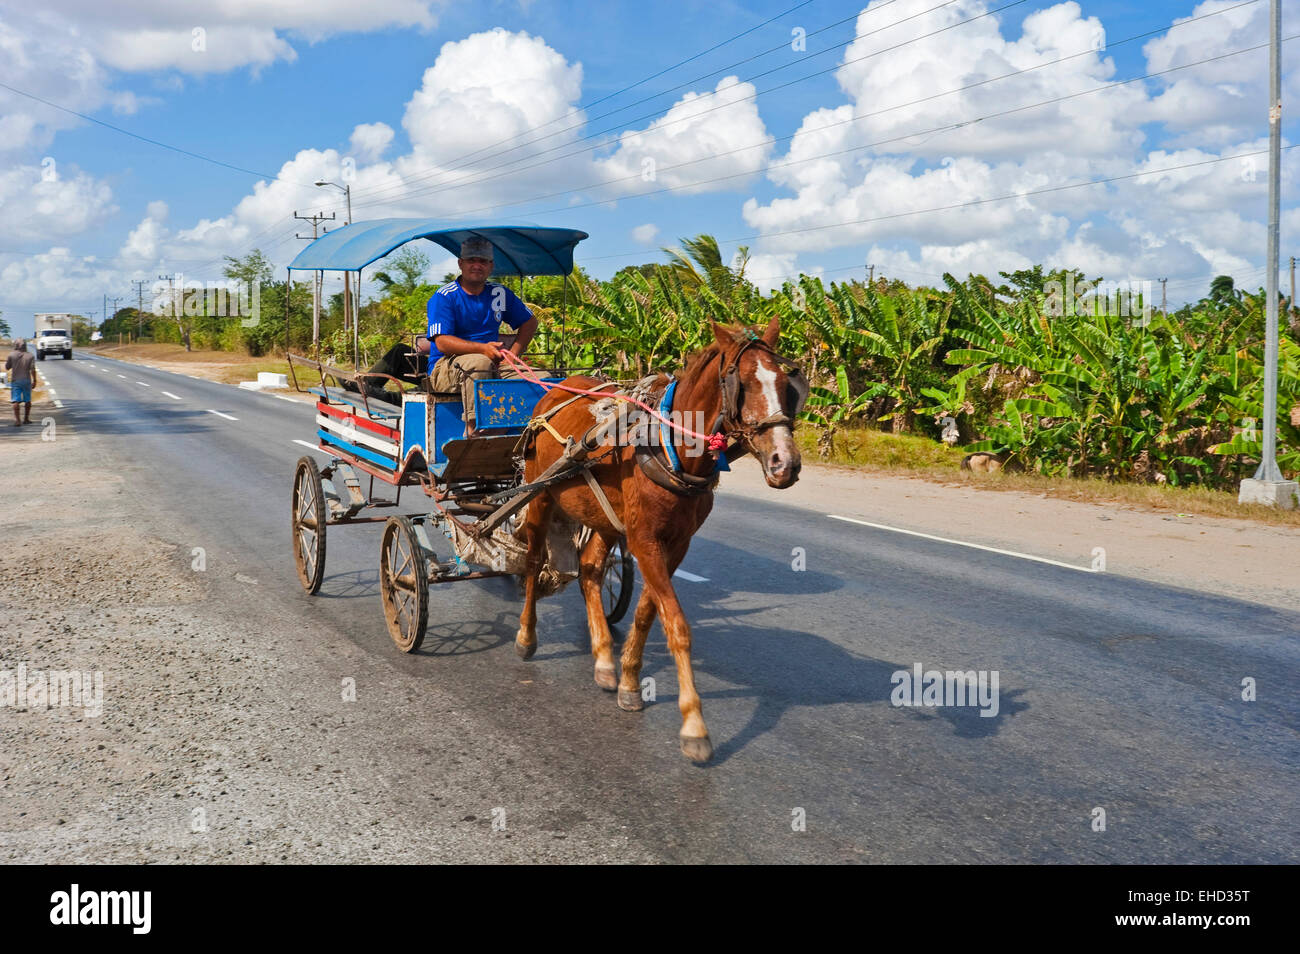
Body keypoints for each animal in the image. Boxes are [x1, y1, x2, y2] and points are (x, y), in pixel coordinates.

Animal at [514, 317, 800, 764]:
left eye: (788, 384)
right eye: (744, 383)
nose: (785, 463)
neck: (672, 448)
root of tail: (557, 389)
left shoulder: (674, 544)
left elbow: (649, 614)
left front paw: (630, 681)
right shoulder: (645, 539)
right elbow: (677, 624)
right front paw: (694, 725)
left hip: (605, 519)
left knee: (590, 570)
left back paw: (604, 659)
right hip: (540, 493)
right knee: (531, 562)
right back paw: (527, 637)